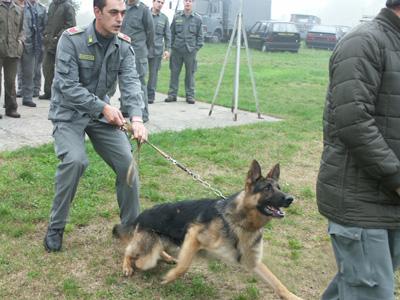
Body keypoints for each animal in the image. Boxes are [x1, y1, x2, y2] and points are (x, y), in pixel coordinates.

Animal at [113, 161, 304, 298]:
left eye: (279, 187)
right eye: (267, 188)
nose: (290, 199)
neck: (239, 221)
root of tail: (140, 215)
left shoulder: (253, 262)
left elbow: (277, 283)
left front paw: (293, 296)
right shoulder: (193, 235)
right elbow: (184, 266)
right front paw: (170, 277)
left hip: (165, 243)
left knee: (153, 251)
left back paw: (166, 257)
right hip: (148, 249)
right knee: (131, 252)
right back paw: (127, 266)